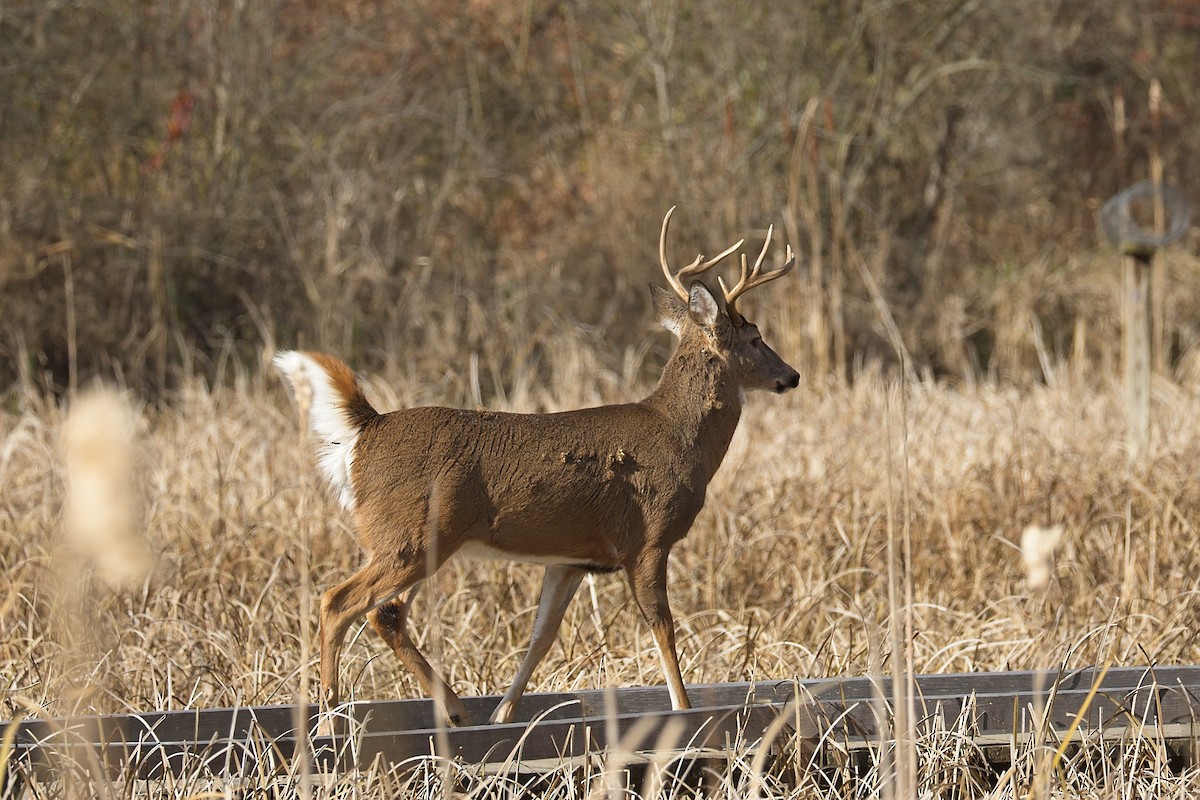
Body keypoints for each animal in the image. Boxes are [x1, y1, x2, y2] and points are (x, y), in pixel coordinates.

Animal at [274, 207, 800, 727]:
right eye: (756, 337)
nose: (791, 375)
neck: (679, 435)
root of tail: (367, 428)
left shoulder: (573, 560)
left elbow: (540, 638)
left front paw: (502, 715)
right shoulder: (648, 539)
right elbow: (663, 629)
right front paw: (685, 712)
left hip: (411, 539)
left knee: (385, 614)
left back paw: (454, 710)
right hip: (408, 535)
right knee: (340, 602)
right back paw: (330, 714)